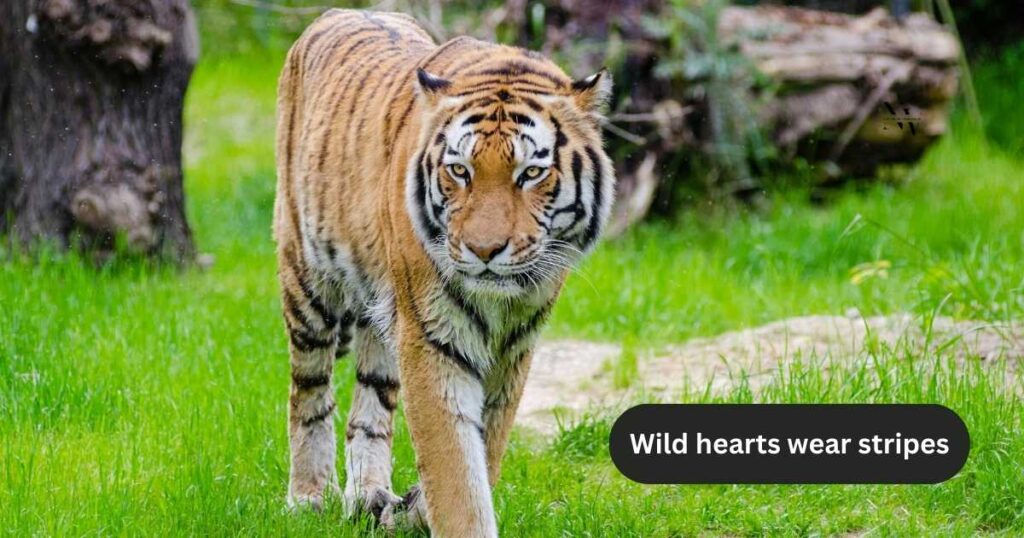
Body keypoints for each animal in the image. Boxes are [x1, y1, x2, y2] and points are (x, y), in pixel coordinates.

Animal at [274, 8, 614, 536]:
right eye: (460, 171)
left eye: (531, 174)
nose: (484, 249)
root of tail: (339, 12)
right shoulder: (432, 338)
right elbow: (455, 467)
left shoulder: (513, 347)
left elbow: (482, 453)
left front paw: (412, 509)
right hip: (307, 281)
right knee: (308, 393)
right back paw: (309, 496)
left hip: (380, 316)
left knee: (370, 405)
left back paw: (368, 495)